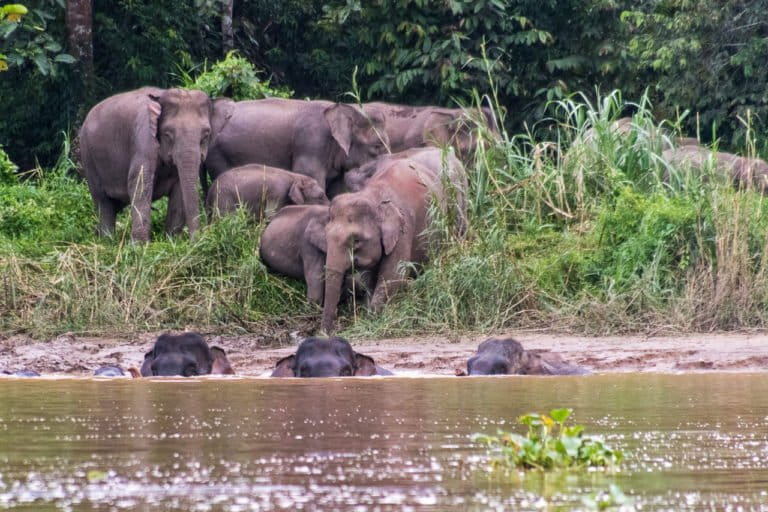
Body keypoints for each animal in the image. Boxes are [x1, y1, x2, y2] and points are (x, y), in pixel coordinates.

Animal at [80, 87, 234, 241]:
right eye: (167, 134)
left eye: (206, 134)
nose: (197, 240)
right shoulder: (143, 138)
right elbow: (139, 182)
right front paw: (140, 245)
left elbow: (179, 187)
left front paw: (172, 240)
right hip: (89, 158)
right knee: (103, 203)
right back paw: (107, 241)